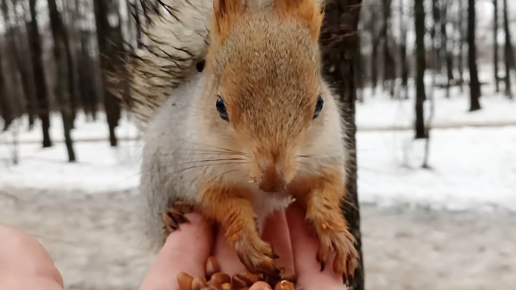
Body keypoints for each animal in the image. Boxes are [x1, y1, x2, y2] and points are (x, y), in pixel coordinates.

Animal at [131, 0, 356, 284]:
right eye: (220, 106)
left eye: (319, 104)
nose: (272, 181)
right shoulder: (205, 176)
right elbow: (227, 207)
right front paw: (249, 244)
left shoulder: (324, 160)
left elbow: (324, 194)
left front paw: (335, 236)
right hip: (155, 188)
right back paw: (172, 214)